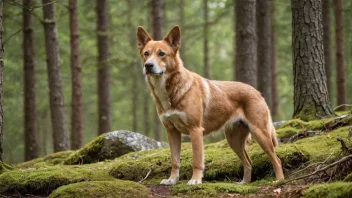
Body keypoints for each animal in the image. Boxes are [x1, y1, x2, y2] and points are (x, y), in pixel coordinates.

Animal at [136, 25, 284, 185]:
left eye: (162, 54)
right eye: (146, 53)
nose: (148, 66)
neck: (171, 91)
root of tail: (257, 92)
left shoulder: (195, 130)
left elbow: (197, 160)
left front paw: (195, 180)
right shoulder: (172, 132)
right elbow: (175, 160)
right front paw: (172, 180)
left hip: (260, 133)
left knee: (276, 159)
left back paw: (279, 180)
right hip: (233, 140)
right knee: (248, 162)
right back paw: (244, 183)